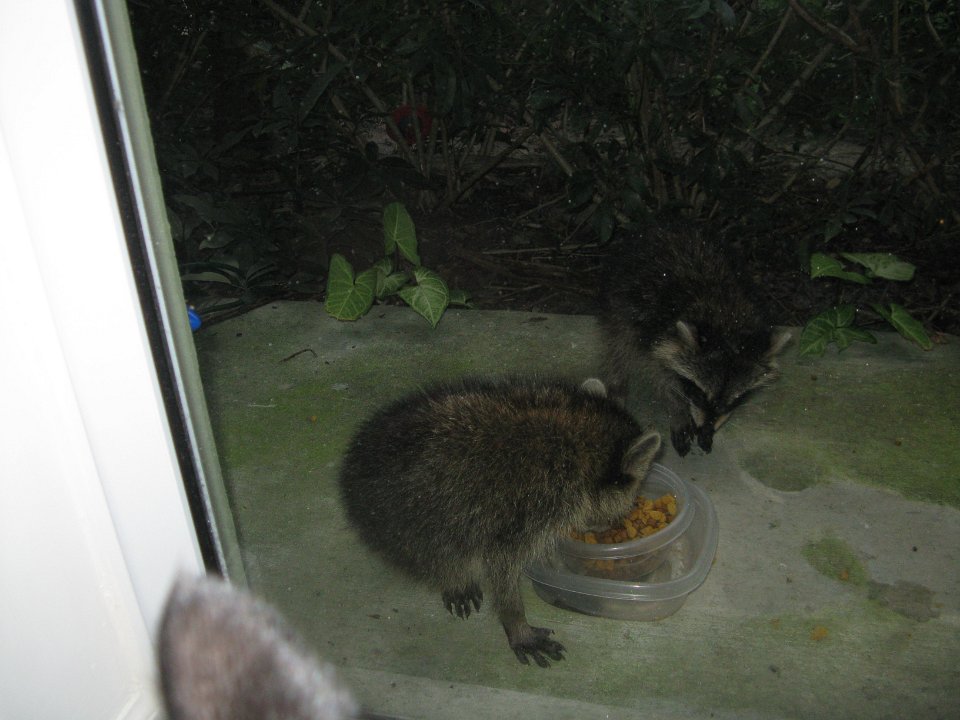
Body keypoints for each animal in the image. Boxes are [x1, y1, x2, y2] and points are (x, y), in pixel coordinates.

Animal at [337, 376, 661, 667]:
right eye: (634, 491)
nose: (612, 524)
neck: (579, 437)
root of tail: (351, 471)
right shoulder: (534, 504)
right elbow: (501, 565)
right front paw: (515, 622)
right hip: (412, 518)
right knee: (442, 549)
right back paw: (453, 576)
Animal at [599, 224, 791, 456]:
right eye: (699, 394)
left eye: (735, 401)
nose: (704, 430)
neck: (724, 315)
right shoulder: (651, 330)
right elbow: (660, 376)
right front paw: (677, 409)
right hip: (620, 298)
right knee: (617, 346)